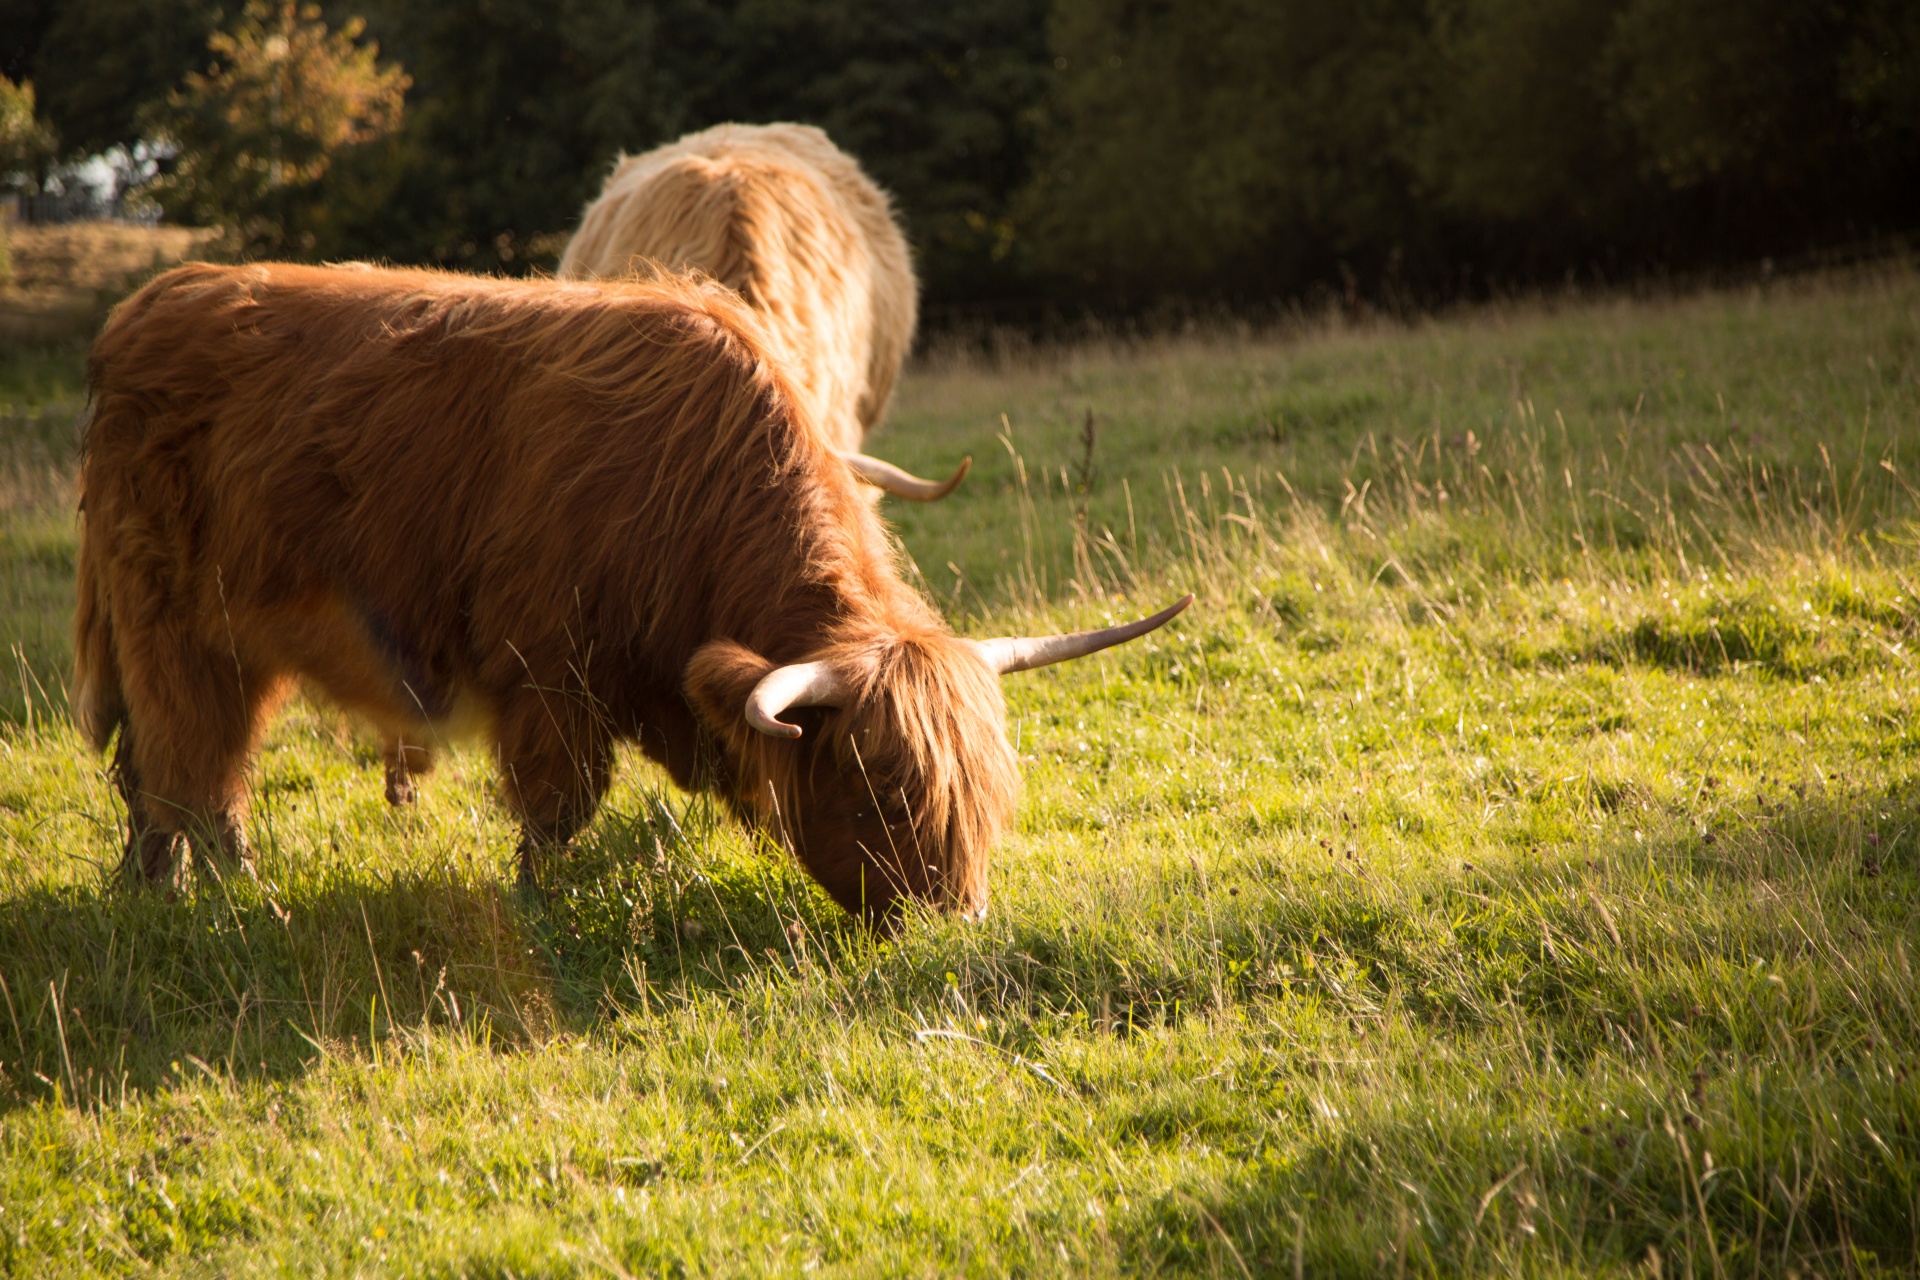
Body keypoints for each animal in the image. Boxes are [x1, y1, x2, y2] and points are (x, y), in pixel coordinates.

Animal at [82, 260, 1190, 921]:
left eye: (987, 791)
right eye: (881, 786)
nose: (951, 918)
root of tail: (155, 299)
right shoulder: (547, 671)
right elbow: (557, 806)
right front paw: (535, 903)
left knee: (157, 769)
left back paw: (152, 892)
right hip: (175, 621)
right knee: (192, 766)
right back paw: (228, 897)